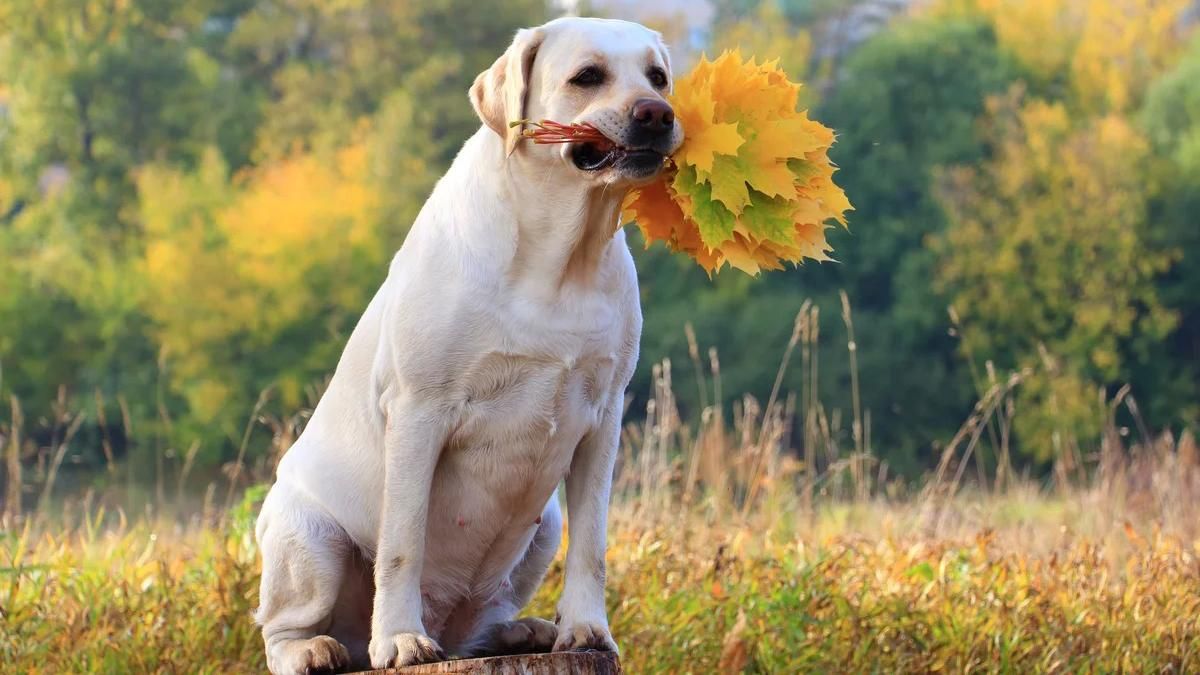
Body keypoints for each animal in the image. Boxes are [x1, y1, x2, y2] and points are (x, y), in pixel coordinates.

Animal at [253, 18, 681, 667]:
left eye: (658, 77)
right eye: (587, 76)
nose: (657, 113)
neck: (561, 256)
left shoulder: (604, 419)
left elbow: (594, 545)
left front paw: (587, 629)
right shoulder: (419, 411)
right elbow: (402, 541)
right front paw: (400, 639)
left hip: (543, 524)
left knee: (481, 621)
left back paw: (522, 631)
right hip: (307, 534)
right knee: (281, 628)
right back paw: (319, 649)